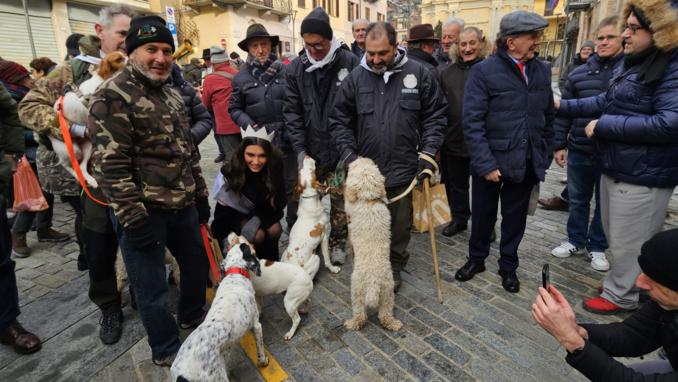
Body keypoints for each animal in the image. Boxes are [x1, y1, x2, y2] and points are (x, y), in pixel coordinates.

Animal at [170, 233, 268, 382]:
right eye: (246, 243)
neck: (235, 274)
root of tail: (182, 376)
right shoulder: (256, 324)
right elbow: (260, 346)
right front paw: (263, 361)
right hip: (218, 377)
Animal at [346, 157, 404, 332]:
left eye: (355, 167)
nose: (360, 157)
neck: (368, 201)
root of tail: (373, 283)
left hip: (357, 290)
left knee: (360, 316)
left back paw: (351, 323)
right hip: (387, 292)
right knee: (385, 315)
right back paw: (394, 324)